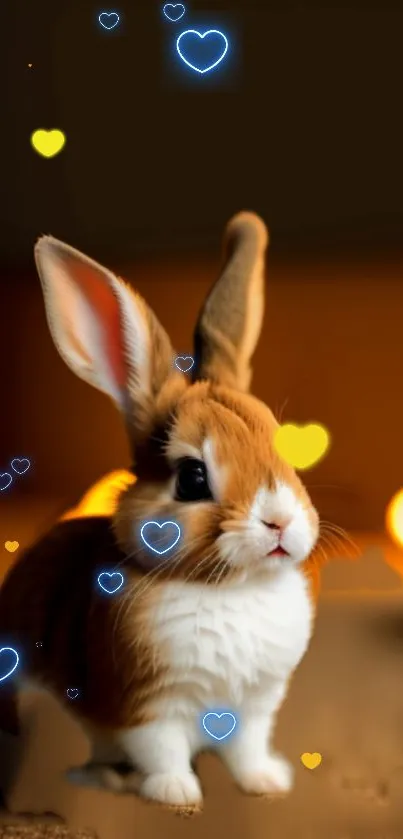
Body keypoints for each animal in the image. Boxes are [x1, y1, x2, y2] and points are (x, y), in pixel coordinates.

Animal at [0, 213, 322, 816]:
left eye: (282, 448)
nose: (280, 522)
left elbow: (247, 748)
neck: (230, 587)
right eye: (192, 477)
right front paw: (178, 796)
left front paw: (267, 782)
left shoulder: (256, 705)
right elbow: (163, 749)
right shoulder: (146, 703)